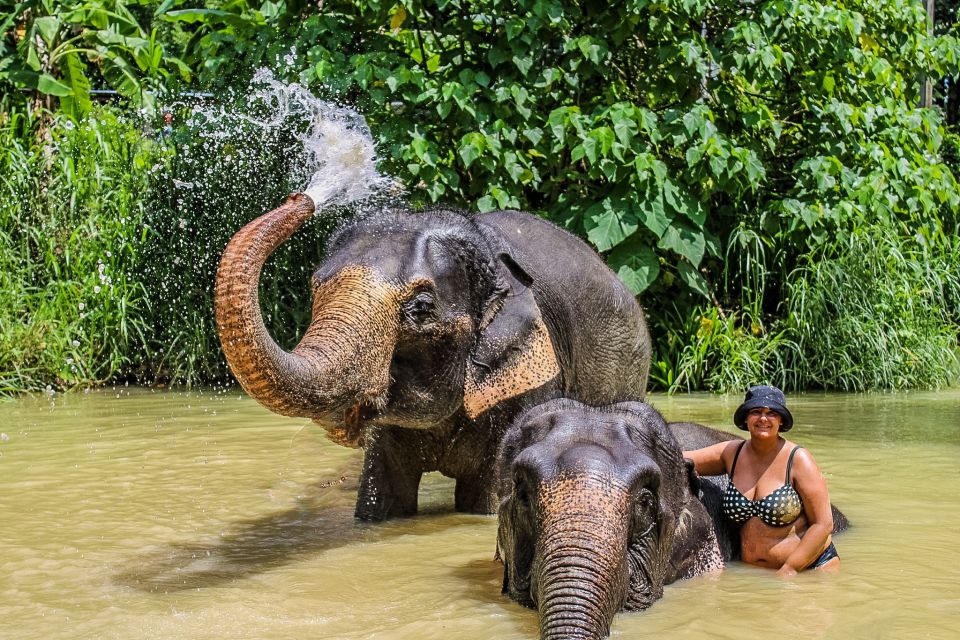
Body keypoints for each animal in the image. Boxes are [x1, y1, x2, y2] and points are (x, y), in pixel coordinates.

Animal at [214, 193, 651, 521]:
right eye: (314, 289)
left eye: (422, 308)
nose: (299, 198)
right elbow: (383, 496)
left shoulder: (532, 386)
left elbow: (486, 501)